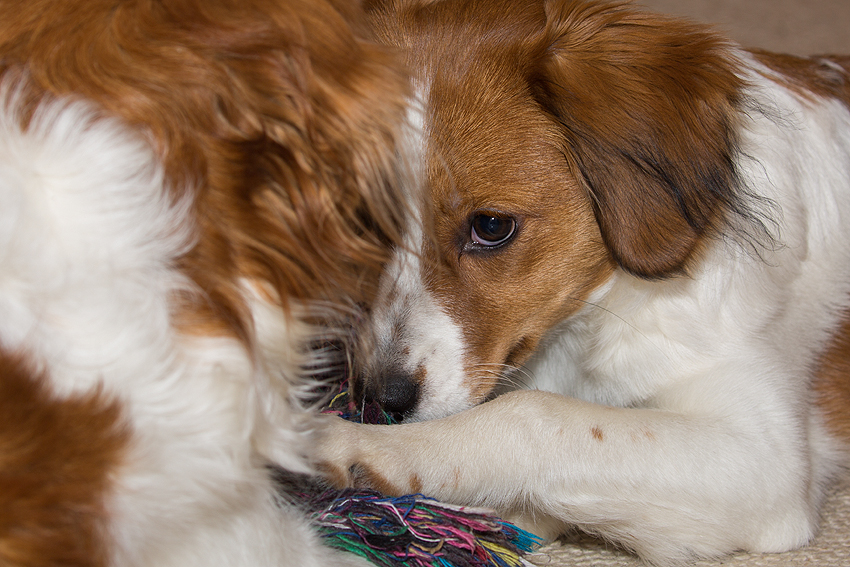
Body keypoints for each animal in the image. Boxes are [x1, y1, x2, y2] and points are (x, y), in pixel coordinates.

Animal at [314, 0, 848, 564]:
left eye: (491, 226)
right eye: (361, 221)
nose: (379, 401)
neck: (596, 315)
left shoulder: (766, 457)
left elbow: (536, 415)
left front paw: (367, 447)